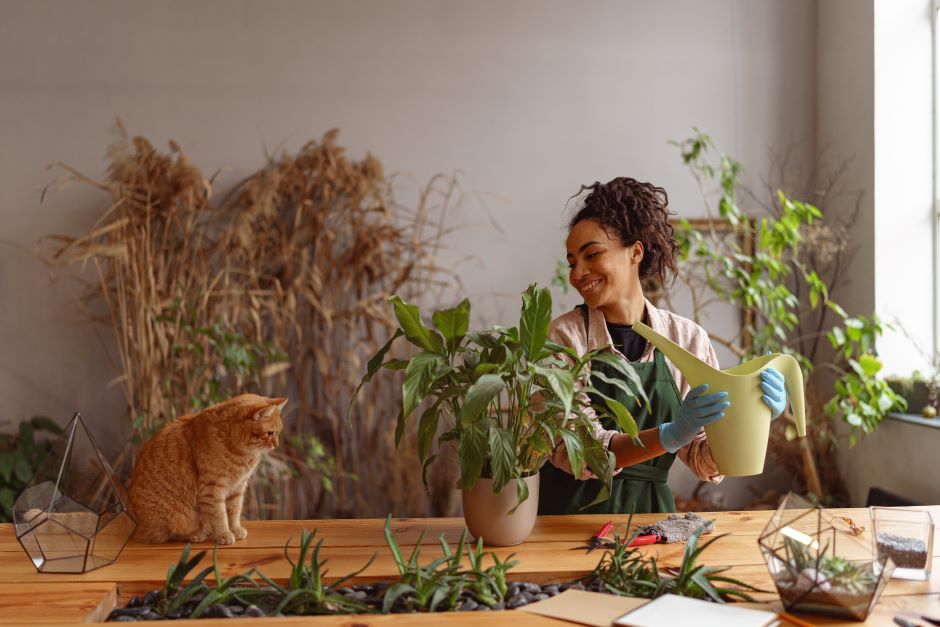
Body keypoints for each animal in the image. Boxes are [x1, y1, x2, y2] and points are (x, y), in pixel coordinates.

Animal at [127, 392, 286, 544]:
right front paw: (224, 534)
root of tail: (139, 527)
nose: (277, 445)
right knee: (169, 534)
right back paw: (198, 534)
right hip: (176, 513)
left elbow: (234, 511)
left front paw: (235, 529)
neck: (240, 453)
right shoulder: (212, 488)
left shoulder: (238, 487)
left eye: (278, 432)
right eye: (270, 433)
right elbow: (219, 515)